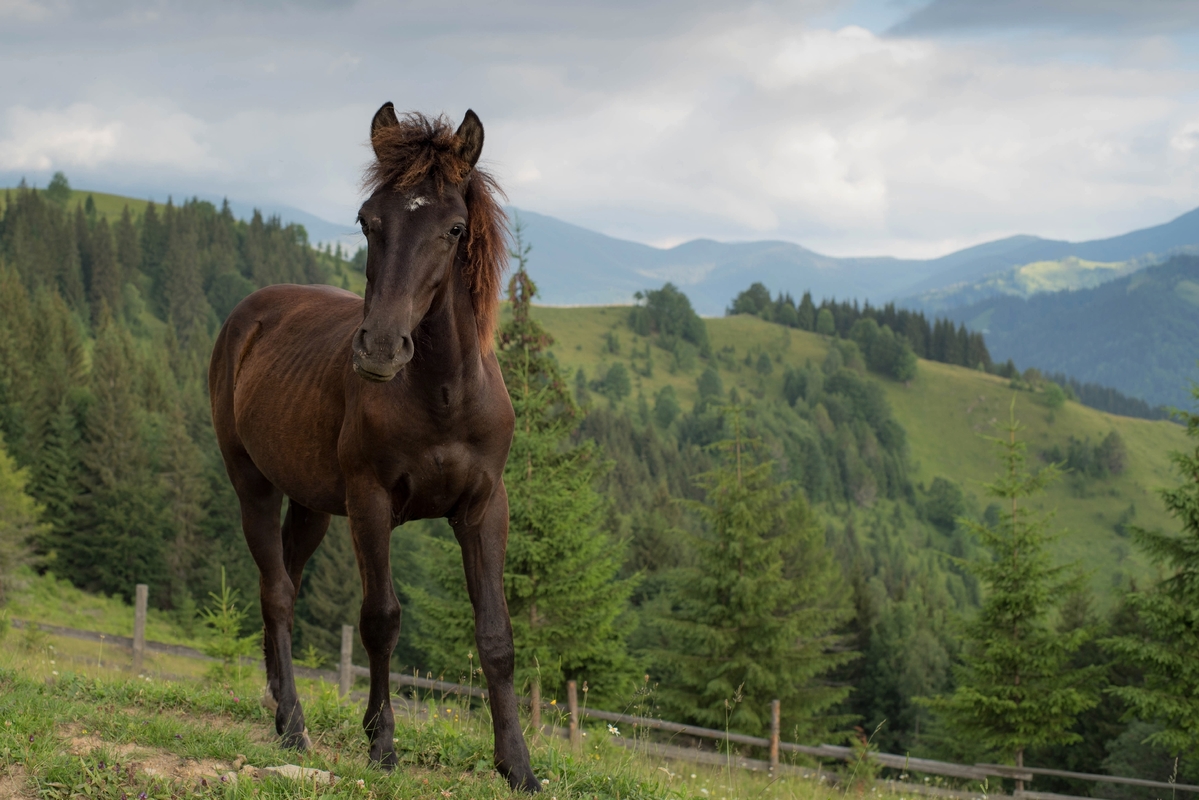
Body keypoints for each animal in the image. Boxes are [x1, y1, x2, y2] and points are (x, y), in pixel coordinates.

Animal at [208, 104, 538, 791]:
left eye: (454, 228)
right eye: (367, 220)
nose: (380, 349)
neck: (444, 395)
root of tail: (248, 316)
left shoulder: (484, 509)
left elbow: (496, 635)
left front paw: (518, 765)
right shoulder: (371, 503)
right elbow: (380, 621)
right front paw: (382, 745)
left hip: (310, 504)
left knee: (285, 580)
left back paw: (278, 703)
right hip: (253, 484)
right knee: (277, 590)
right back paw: (293, 724)